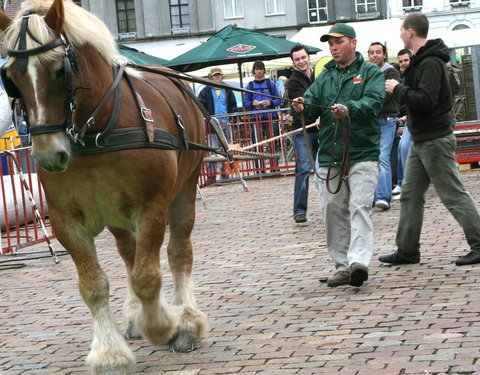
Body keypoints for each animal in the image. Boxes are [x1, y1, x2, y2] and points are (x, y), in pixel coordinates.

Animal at [0, 0, 206, 374]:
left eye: (60, 70)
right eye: (12, 78)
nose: (49, 155)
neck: (100, 129)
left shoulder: (152, 208)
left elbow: (147, 277)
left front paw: (162, 325)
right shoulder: (67, 222)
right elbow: (94, 285)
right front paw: (111, 353)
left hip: (184, 189)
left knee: (178, 251)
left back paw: (185, 323)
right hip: (115, 215)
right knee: (129, 253)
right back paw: (136, 315)